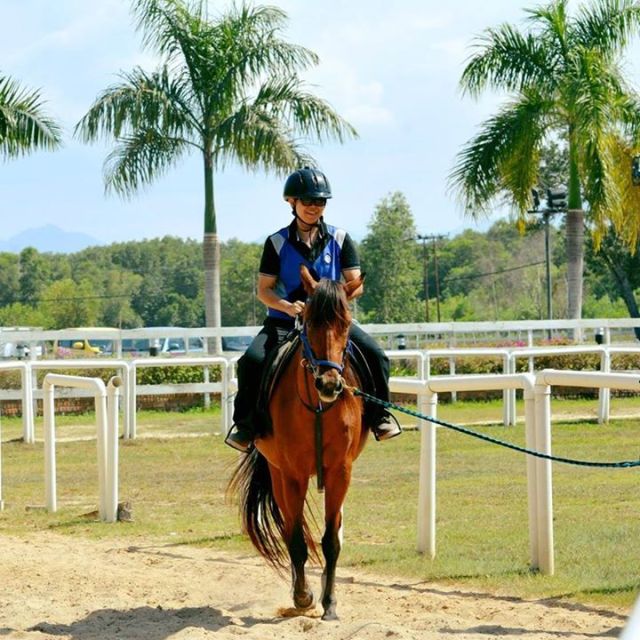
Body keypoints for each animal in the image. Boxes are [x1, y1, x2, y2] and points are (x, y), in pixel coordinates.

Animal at [228, 265, 368, 621]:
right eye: (310, 322)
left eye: (346, 323)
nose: (329, 384)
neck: (318, 407)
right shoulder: (292, 474)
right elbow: (295, 540)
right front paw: (304, 596)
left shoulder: (340, 472)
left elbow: (331, 540)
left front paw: (330, 603)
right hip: (278, 473)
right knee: (291, 528)